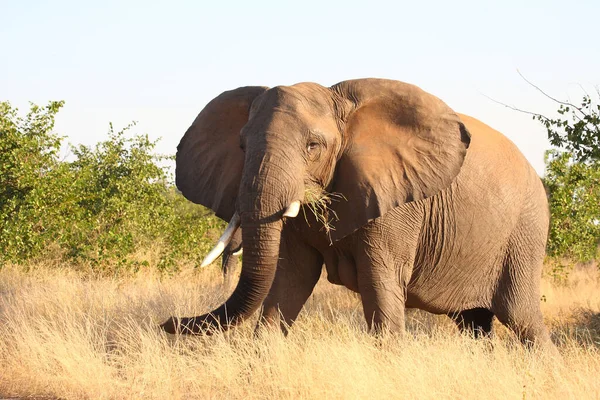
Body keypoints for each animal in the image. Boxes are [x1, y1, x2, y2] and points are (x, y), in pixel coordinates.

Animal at [162, 79, 556, 348]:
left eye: (313, 146)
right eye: (242, 146)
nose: (168, 323)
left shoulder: (397, 204)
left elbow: (379, 283)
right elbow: (289, 280)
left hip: (525, 232)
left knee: (523, 319)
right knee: (475, 324)